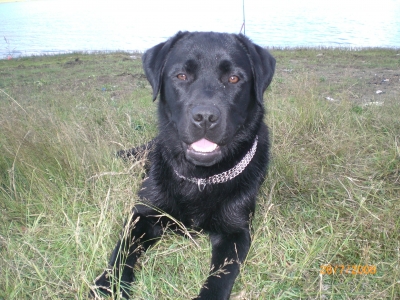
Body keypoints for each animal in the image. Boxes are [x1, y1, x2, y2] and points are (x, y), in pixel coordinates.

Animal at [90, 31, 276, 300]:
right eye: (181, 76)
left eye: (233, 78)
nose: (205, 117)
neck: (200, 177)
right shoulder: (143, 214)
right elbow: (122, 253)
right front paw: (109, 285)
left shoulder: (236, 231)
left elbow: (220, 279)